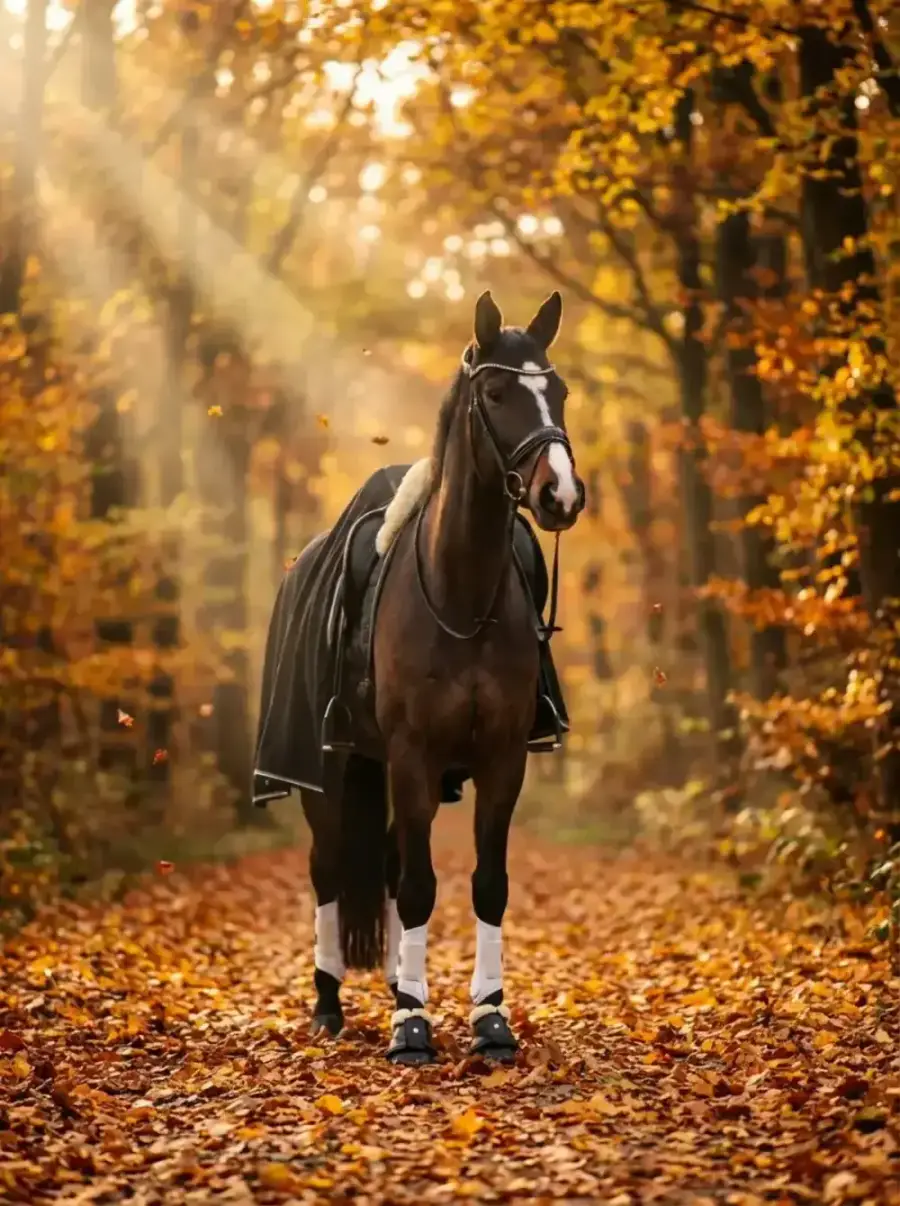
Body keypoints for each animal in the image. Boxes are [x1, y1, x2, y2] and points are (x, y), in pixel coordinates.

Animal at [253, 289, 584, 1064]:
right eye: (496, 394)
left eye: (557, 391)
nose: (561, 495)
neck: (459, 593)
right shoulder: (410, 757)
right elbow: (415, 889)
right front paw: (411, 1027)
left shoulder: (501, 758)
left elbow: (486, 885)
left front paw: (489, 1018)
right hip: (329, 776)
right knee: (329, 871)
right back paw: (329, 1005)